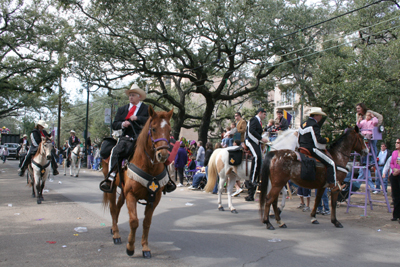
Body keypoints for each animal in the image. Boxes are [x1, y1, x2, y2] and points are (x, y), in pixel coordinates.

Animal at [101, 105, 173, 258]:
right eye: (153, 129)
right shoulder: (131, 195)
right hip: (112, 188)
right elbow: (134, 221)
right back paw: (116, 234)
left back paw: (114, 229)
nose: (163, 155)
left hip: (123, 191)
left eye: (169, 131)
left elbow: (146, 223)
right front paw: (130, 247)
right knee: (112, 207)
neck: (149, 166)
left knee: (117, 207)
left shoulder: (154, 198)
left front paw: (145, 248)